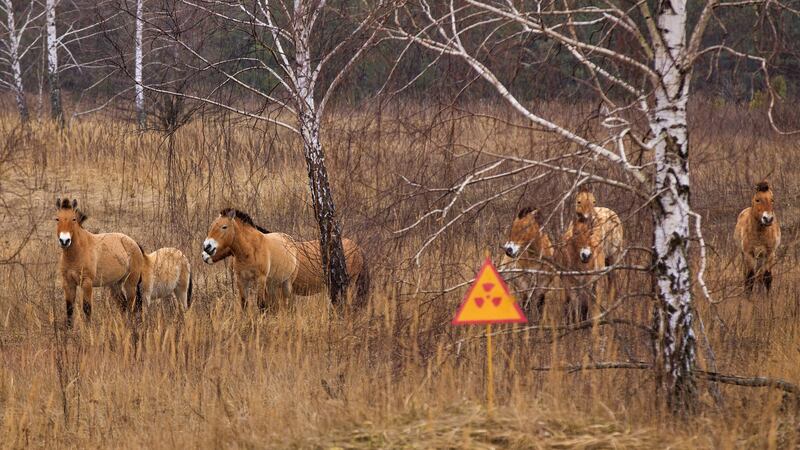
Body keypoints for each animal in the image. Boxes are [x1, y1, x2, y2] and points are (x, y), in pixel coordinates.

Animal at [55, 198, 144, 327]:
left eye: (74, 219)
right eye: (57, 219)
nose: (64, 240)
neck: (76, 253)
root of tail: (134, 242)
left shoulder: (86, 283)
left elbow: (87, 308)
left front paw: (88, 330)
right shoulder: (68, 283)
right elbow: (69, 310)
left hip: (130, 284)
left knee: (131, 306)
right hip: (115, 285)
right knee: (123, 305)